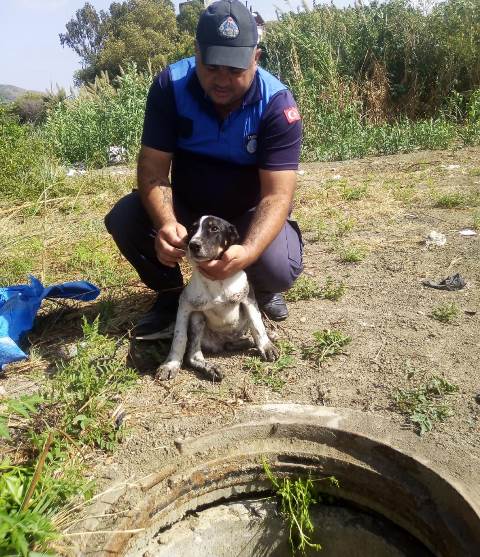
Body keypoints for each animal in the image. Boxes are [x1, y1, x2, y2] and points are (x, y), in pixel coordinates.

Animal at [156, 215, 280, 380]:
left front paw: (266, 346)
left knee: (235, 340)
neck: (217, 281)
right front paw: (171, 365)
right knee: (193, 355)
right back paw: (211, 368)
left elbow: (257, 324)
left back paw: (259, 338)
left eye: (214, 228)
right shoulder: (184, 306)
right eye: (192, 230)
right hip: (197, 318)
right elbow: (179, 338)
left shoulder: (248, 299)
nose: (193, 245)